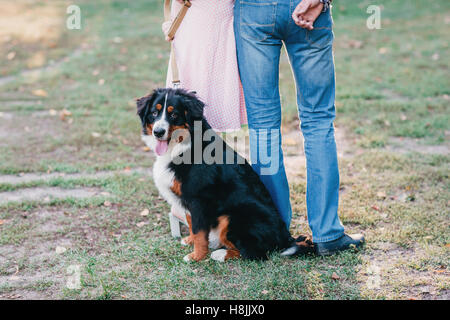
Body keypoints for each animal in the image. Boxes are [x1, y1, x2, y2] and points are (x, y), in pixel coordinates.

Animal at [137, 86, 312, 262]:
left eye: (174, 114)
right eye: (154, 112)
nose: (158, 132)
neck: (184, 145)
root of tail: (285, 237)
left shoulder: (198, 200)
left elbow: (199, 231)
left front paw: (196, 256)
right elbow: (191, 223)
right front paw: (191, 241)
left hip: (232, 218)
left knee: (254, 253)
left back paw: (220, 253)